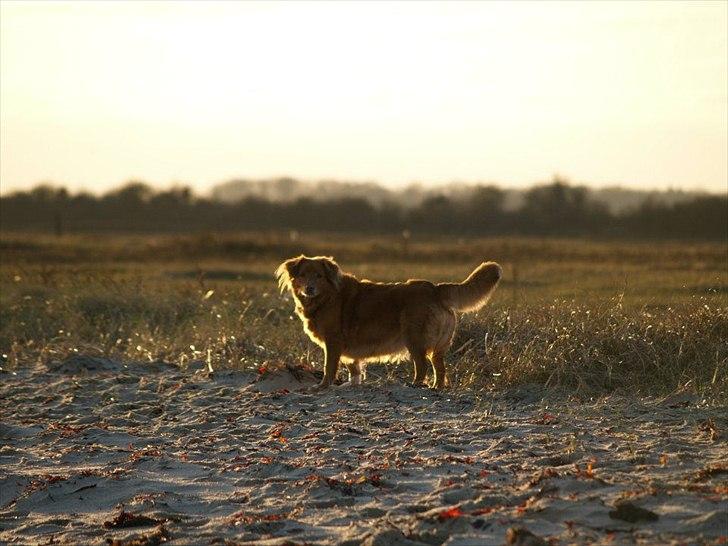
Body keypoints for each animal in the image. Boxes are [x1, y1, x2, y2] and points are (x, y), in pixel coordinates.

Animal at [276, 255, 504, 386]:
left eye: (319, 276)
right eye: (303, 275)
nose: (309, 288)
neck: (328, 297)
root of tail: (435, 288)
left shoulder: (333, 342)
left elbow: (328, 367)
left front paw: (323, 386)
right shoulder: (348, 349)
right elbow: (354, 368)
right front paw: (352, 385)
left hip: (414, 338)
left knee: (422, 365)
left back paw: (415, 385)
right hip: (437, 347)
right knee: (440, 369)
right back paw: (435, 388)